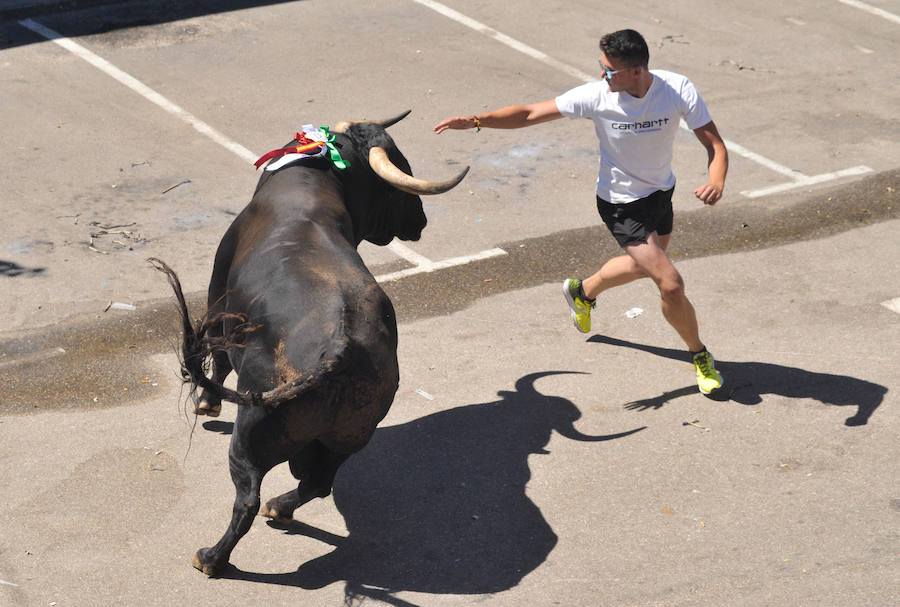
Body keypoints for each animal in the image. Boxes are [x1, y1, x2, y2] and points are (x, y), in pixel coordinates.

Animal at [150, 113, 468, 576]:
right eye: (397, 179)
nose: (420, 223)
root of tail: (341, 350)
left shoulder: (218, 288)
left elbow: (218, 352)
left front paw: (206, 403)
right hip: (347, 437)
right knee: (316, 483)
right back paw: (280, 508)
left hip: (250, 433)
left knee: (247, 497)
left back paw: (211, 557)